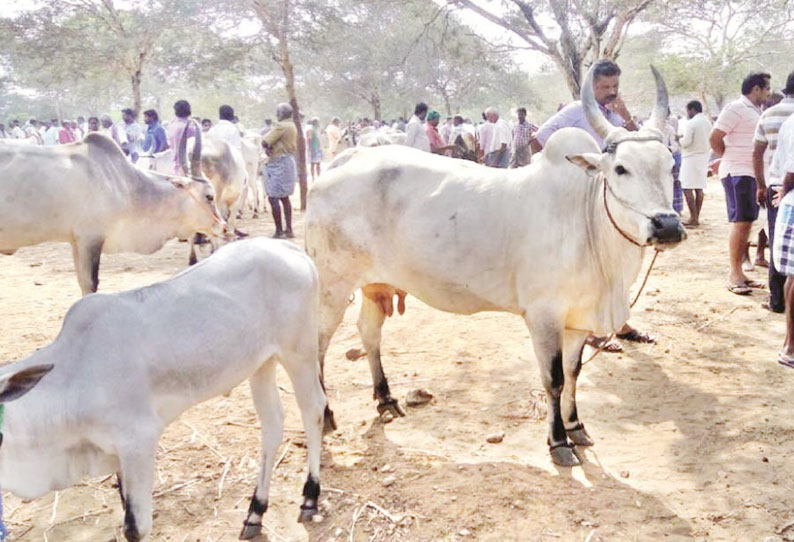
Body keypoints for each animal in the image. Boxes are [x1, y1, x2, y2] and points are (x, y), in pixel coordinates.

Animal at [0, 127, 223, 296]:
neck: (127, 184)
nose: (222, 226)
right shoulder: (91, 238)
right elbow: (90, 284)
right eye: (209, 196)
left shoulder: (76, 240)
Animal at [0, 239, 328, 542]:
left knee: (313, 408)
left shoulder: (139, 441)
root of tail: (285, 246)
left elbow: (135, 527)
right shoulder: (119, 456)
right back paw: (255, 511)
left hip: (298, 352)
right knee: (273, 424)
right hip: (261, 363)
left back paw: (310, 496)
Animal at [306, 67, 684, 468]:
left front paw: (576, 426)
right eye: (621, 169)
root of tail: (346, 160)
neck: (588, 221)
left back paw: (386, 399)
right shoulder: (543, 315)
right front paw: (558, 441)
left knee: (369, 332)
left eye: (670, 165)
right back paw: (325, 413)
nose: (667, 226)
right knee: (317, 344)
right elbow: (554, 379)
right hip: (331, 287)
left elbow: (573, 372)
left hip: (374, 284)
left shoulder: (579, 319)